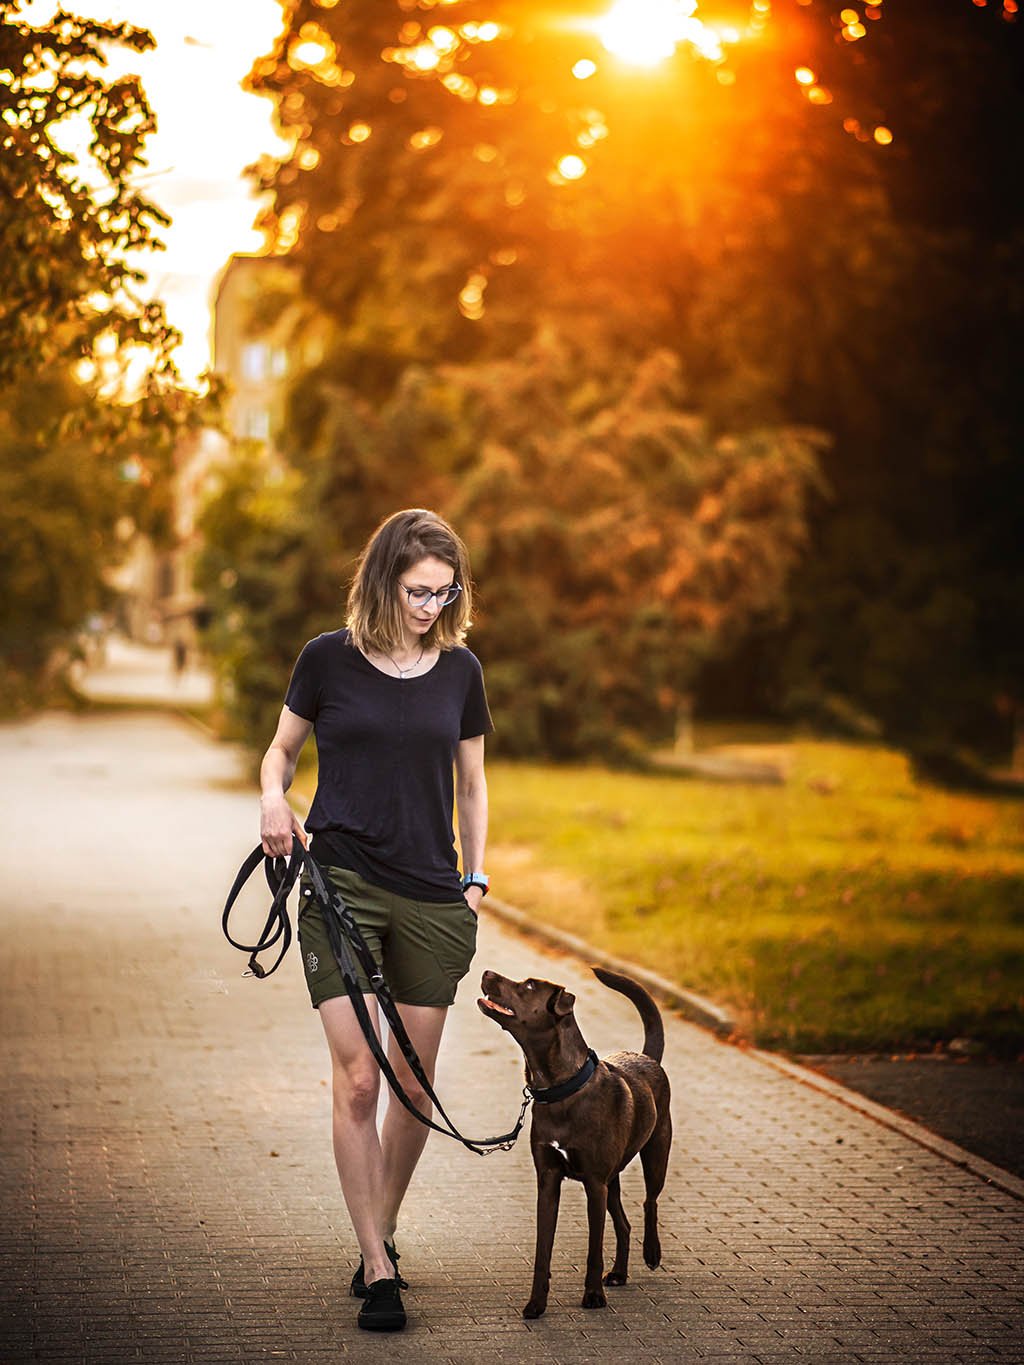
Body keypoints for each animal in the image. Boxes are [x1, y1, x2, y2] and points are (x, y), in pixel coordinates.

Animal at [480, 966, 674, 1315]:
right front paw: (536, 1303)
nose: (487, 971)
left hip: (655, 1153)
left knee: (650, 1201)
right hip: (613, 1181)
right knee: (623, 1224)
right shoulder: (548, 1181)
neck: (561, 1088)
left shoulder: (594, 1184)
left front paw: (593, 1295)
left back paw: (652, 1253)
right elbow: (543, 1250)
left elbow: (593, 1250)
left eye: (530, 985)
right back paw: (619, 1272)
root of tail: (645, 1056)